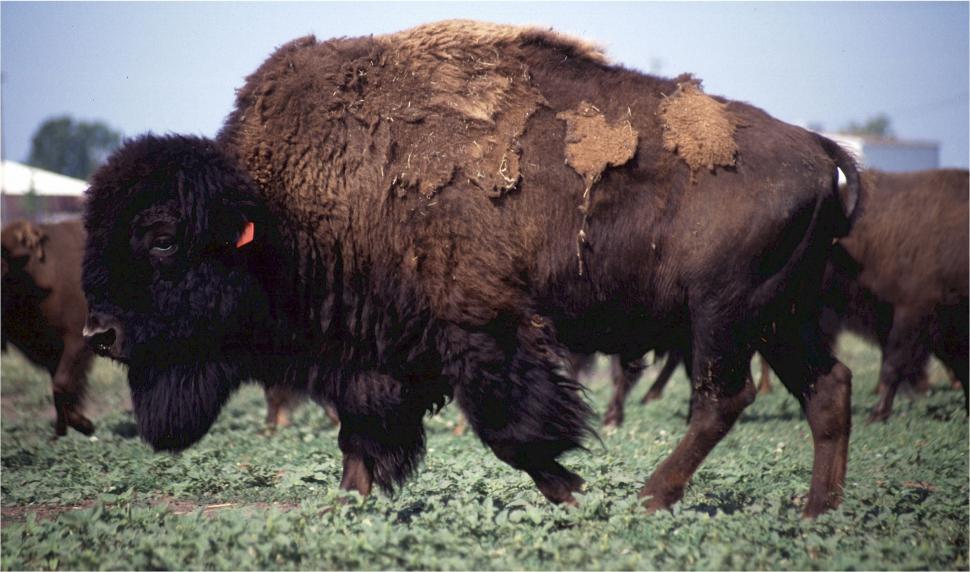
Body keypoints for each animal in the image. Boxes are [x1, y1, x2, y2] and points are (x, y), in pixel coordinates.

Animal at [82, 21, 859, 516]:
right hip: (779, 319)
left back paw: (649, 497)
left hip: (723, 317)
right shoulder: (373, 359)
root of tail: (821, 149)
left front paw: (577, 494)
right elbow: (360, 443)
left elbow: (513, 432)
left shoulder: (482, 331)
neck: (275, 208)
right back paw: (815, 512)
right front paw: (349, 511)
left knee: (722, 400)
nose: (99, 333)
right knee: (827, 389)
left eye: (160, 238)